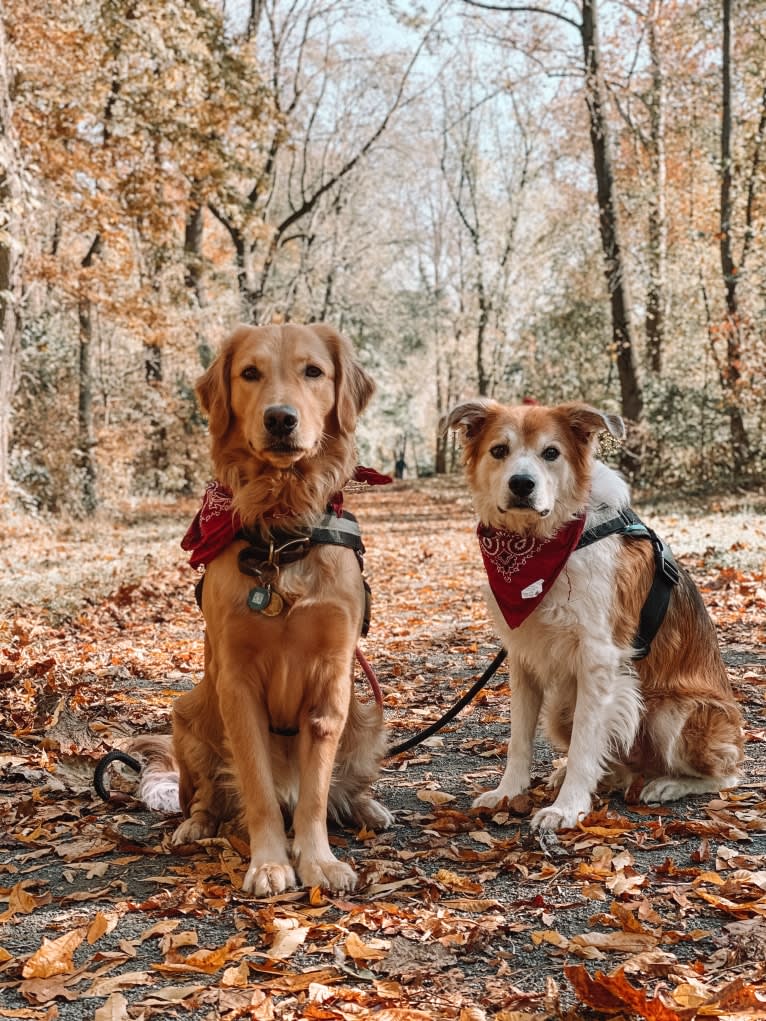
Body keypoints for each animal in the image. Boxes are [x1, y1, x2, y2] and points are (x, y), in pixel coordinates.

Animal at [449, 398, 743, 829]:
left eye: (551, 453)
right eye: (499, 450)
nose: (522, 484)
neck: (549, 540)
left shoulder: (598, 658)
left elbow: (586, 742)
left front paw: (567, 807)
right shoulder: (523, 657)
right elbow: (519, 740)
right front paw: (509, 792)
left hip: (672, 711)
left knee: (727, 774)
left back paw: (667, 784)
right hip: (561, 709)